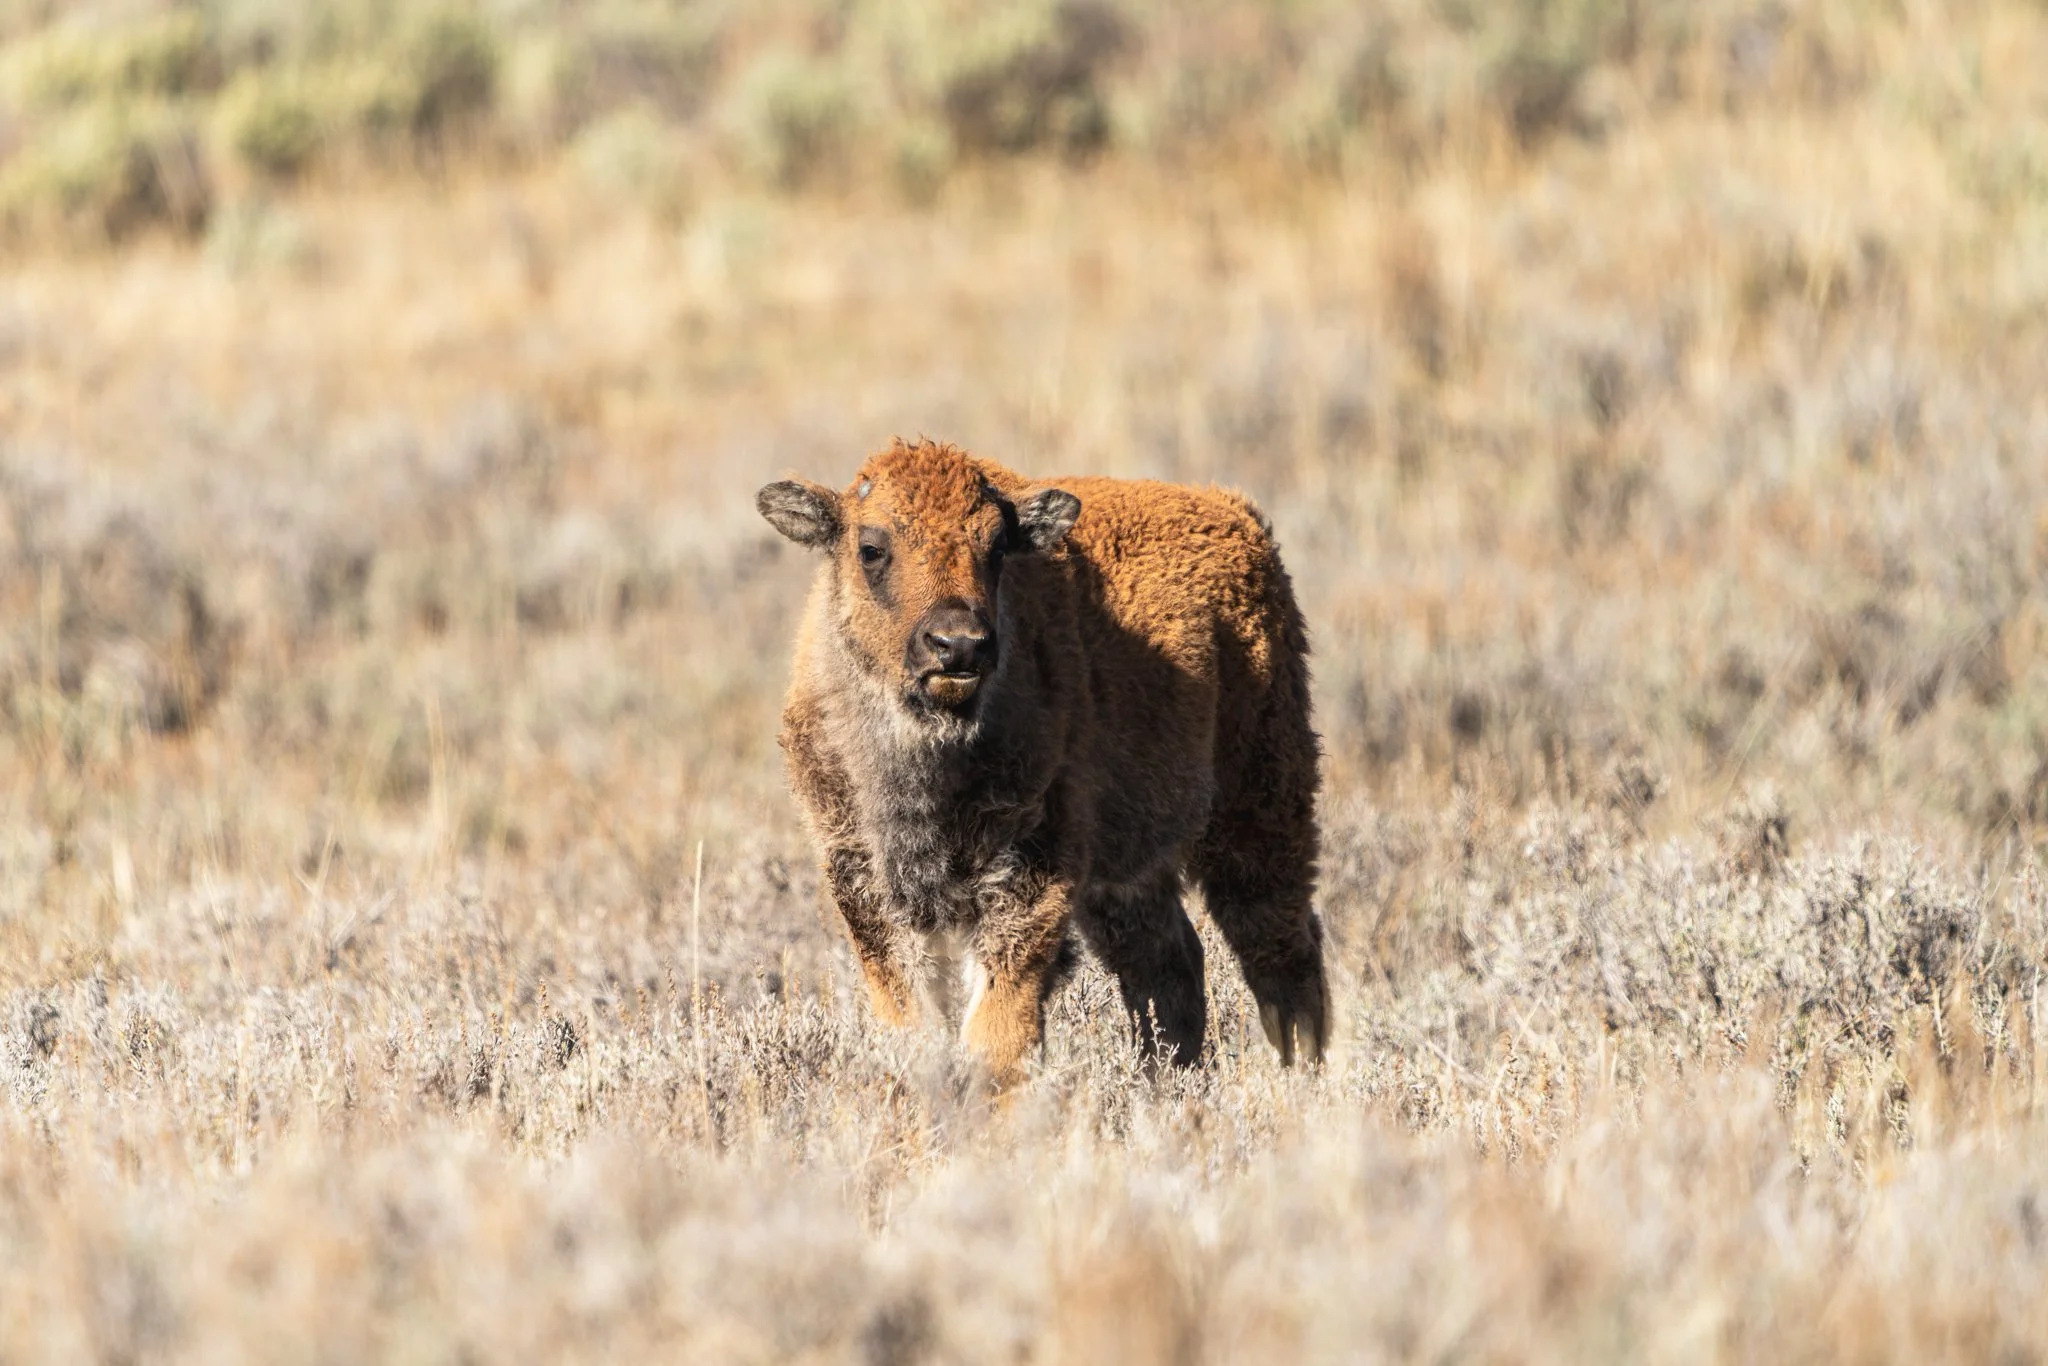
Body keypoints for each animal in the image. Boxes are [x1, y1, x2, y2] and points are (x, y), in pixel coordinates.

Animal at [757, 437, 1327, 1086]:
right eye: (871, 547)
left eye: (997, 546)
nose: (959, 645)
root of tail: (1239, 515)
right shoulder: (864, 881)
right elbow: (912, 1025)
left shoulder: (1033, 870)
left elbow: (998, 1031)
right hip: (1127, 872)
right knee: (1167, 961)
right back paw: (1168, 1079)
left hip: (1259, 807)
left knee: (1280, 951)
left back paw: (1300, 1079)